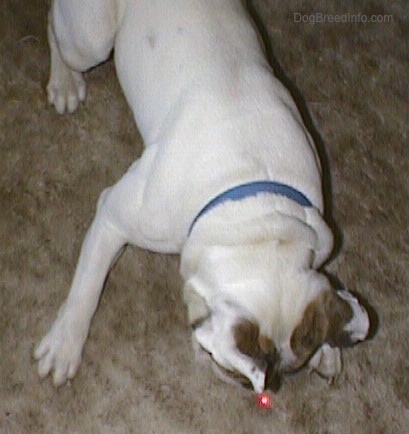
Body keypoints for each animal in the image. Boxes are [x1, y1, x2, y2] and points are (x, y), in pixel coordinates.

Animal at [34, 0, 370, 394]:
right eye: (238, 371)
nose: (266, 385)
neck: (258, 220)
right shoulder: (113, 217)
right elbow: (87, 287)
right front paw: (64, 345)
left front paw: (329, 349)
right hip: (91, 40)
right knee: (56, 28)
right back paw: (64, 81)